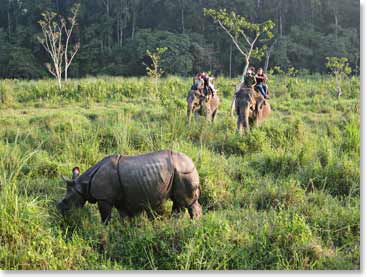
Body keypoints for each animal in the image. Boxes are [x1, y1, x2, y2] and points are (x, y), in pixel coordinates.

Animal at [56, 150, 203, 223]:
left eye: (67, 200)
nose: (60, 210)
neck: (83, 184)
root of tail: (192, 162)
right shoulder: (121, 199)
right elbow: (124, 216)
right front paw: (125, 229)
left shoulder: (104, 198)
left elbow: (105, 217)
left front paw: (105, 229)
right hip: (179, 172)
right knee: (178, 202)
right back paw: (175, 224)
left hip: (184, 171)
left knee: (188, 202)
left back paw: (194, 225)